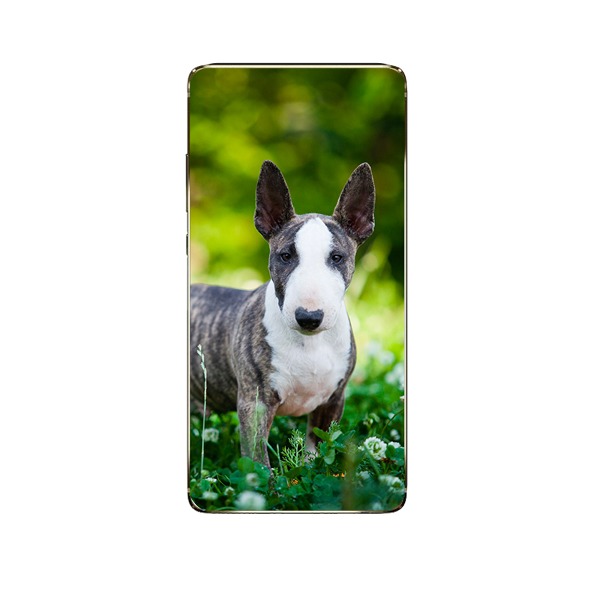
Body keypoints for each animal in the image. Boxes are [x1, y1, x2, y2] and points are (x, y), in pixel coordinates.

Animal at [190, 160, 375, 468]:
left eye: (337, 258)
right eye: (286, 256)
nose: (309, 317)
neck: (309, 342)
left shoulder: (333, 400)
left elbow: (317, 453)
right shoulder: (254, 403)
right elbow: (258, 460)